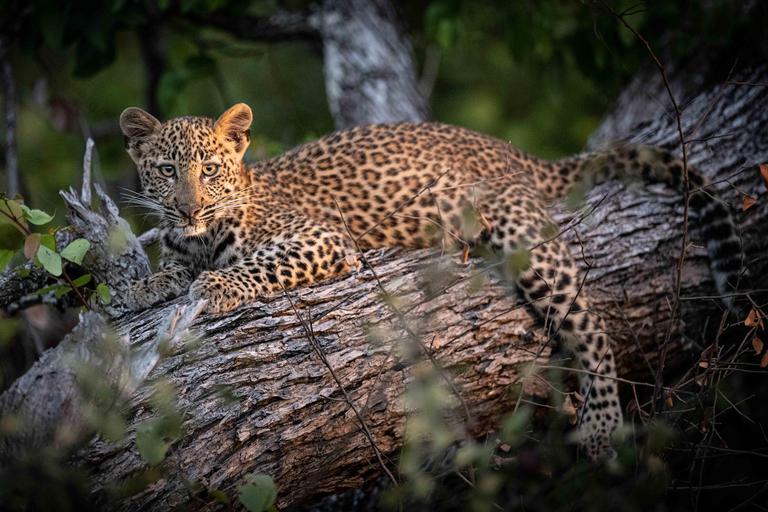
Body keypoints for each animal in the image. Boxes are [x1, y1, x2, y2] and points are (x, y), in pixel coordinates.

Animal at [119, 103, 743, 462]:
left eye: (209, 169)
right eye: (168, 171)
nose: (188, 207)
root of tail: (507, 149)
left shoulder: (321, 238)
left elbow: (255, 265)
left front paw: (216, 286)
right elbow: (169, 270)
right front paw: (140, 289)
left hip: (522, 234)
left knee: (588, 324)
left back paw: (601, 423)